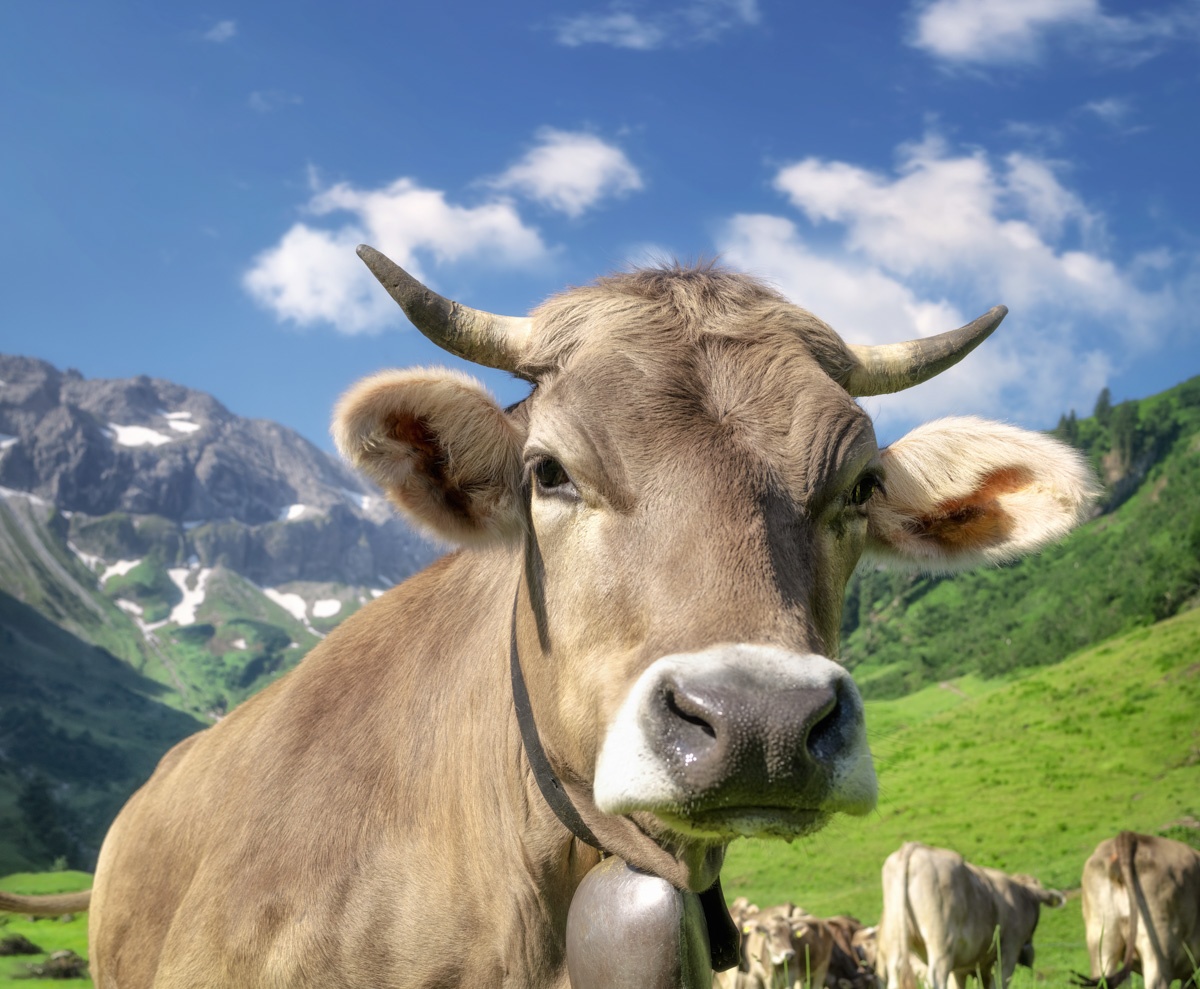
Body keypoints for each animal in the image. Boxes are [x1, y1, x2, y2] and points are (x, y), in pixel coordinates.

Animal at [877, 842, 1064, 989]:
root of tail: (914, 848)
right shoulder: (1009, 951)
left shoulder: (965, 968)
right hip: (941, 942)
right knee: (936, 978)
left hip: (896, 939)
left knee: (895, 975)